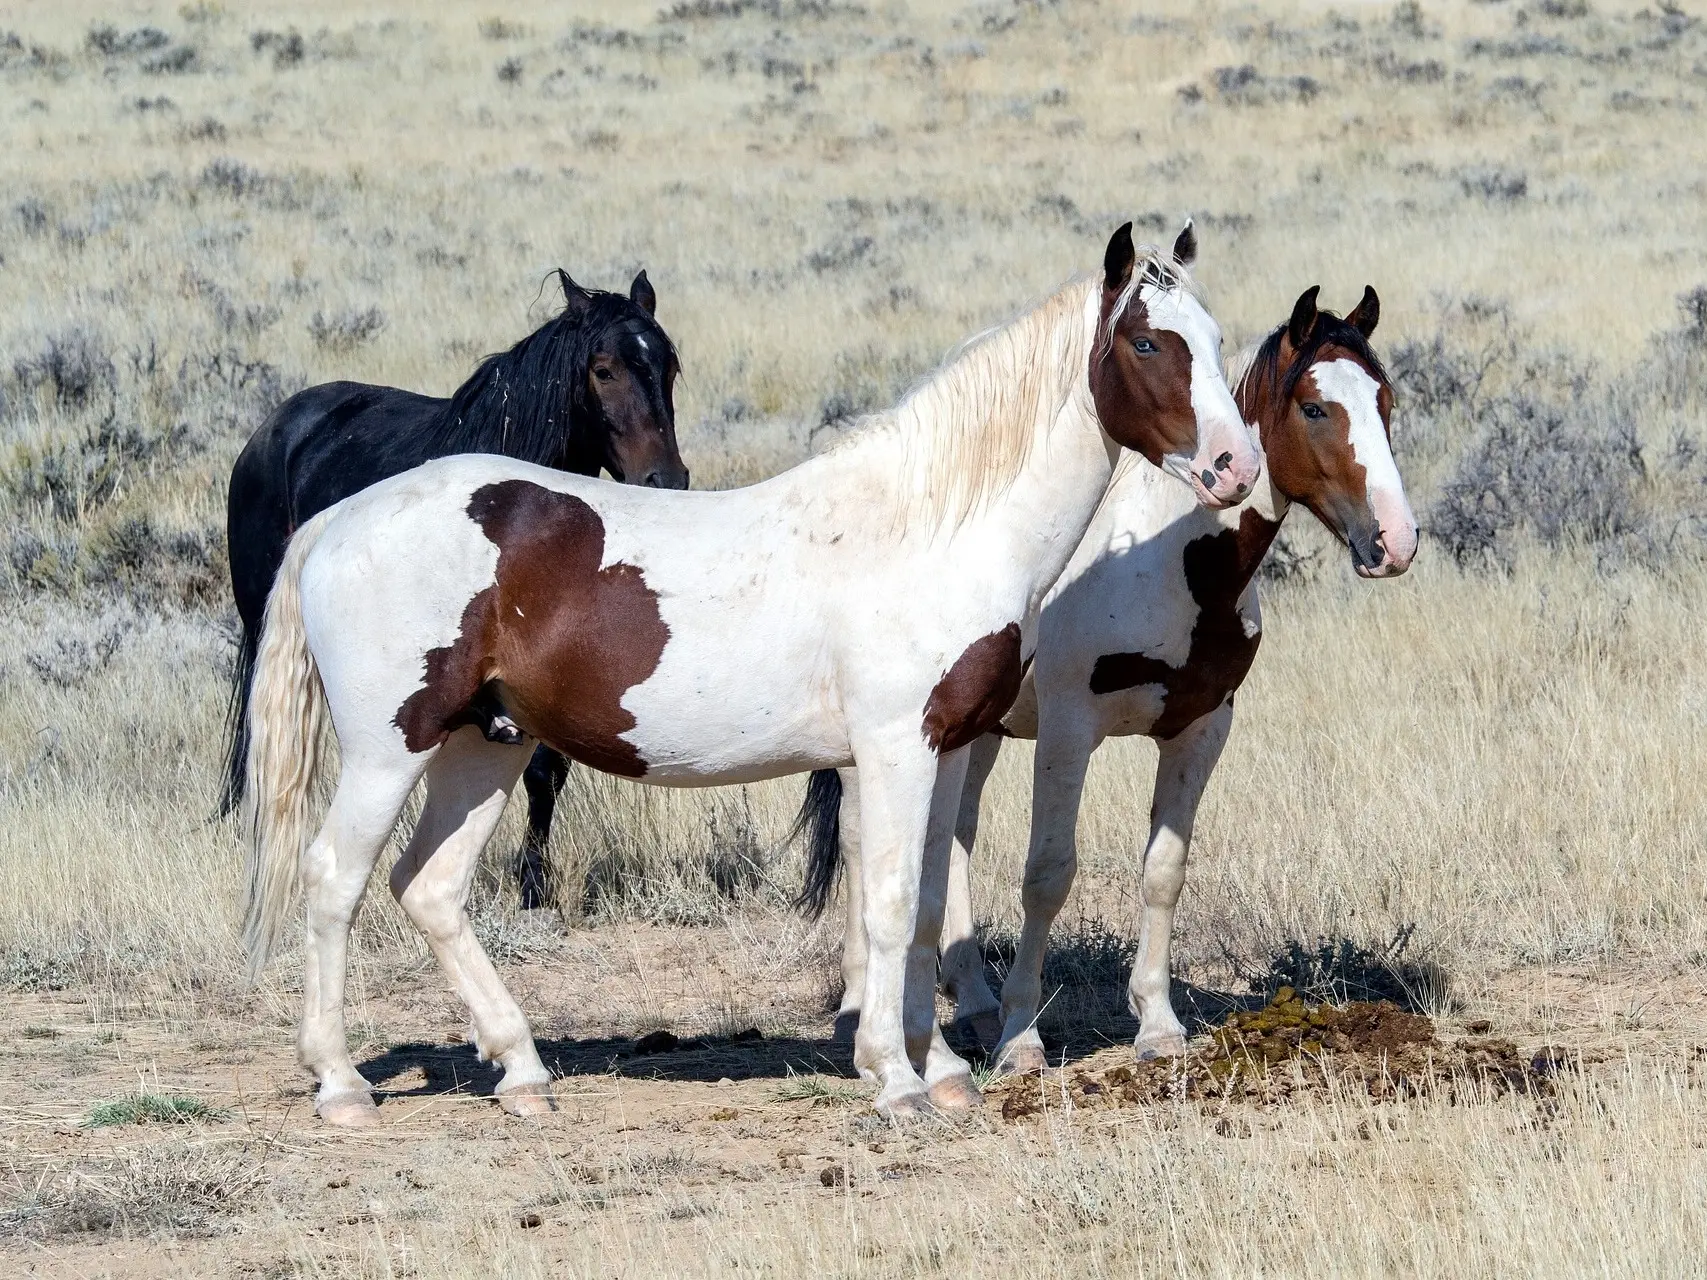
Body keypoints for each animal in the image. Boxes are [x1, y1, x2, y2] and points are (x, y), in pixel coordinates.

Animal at [221, 267, 686, 914]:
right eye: (603, 369)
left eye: (669, 366)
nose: (666, 479)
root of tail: (275, 428)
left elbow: (547, 772)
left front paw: (534, 885)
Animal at [812, 283, 1413, 1071]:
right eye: (1314, 408)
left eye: (1385, 401)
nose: (1395, 541)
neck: (1170, 565)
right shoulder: (1069, 732)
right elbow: (1047, 876)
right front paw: (1022, 1036)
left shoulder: (1201, 728)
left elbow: (1163, 872)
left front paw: (1156, 1023)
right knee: (862, 840)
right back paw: (862, 1009)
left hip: (976, 733)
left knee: (954, 838)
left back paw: (969, 1001)